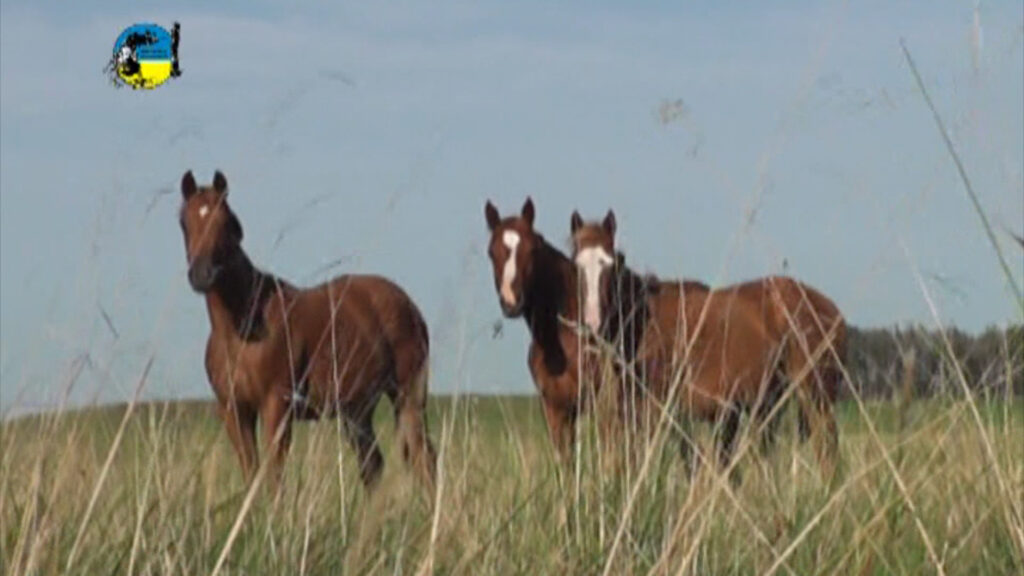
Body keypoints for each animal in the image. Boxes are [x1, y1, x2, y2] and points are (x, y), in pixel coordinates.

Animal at [178, 170, 436, 493]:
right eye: (184, 222)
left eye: (226, 221)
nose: (202, 274)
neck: (240, 330)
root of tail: (409, 306)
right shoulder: (233, 411)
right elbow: (251, 473)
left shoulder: (276, 406)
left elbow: (274, 476)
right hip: (357, 411)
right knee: (373, 465)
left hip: (407, 397)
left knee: (422, 458)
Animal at [569, 210, 845, 480]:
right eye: (577, 265)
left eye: (610, 265)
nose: (592, 324)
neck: (643, 323)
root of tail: (831, 309)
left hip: (815, 398)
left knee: (827, 449)